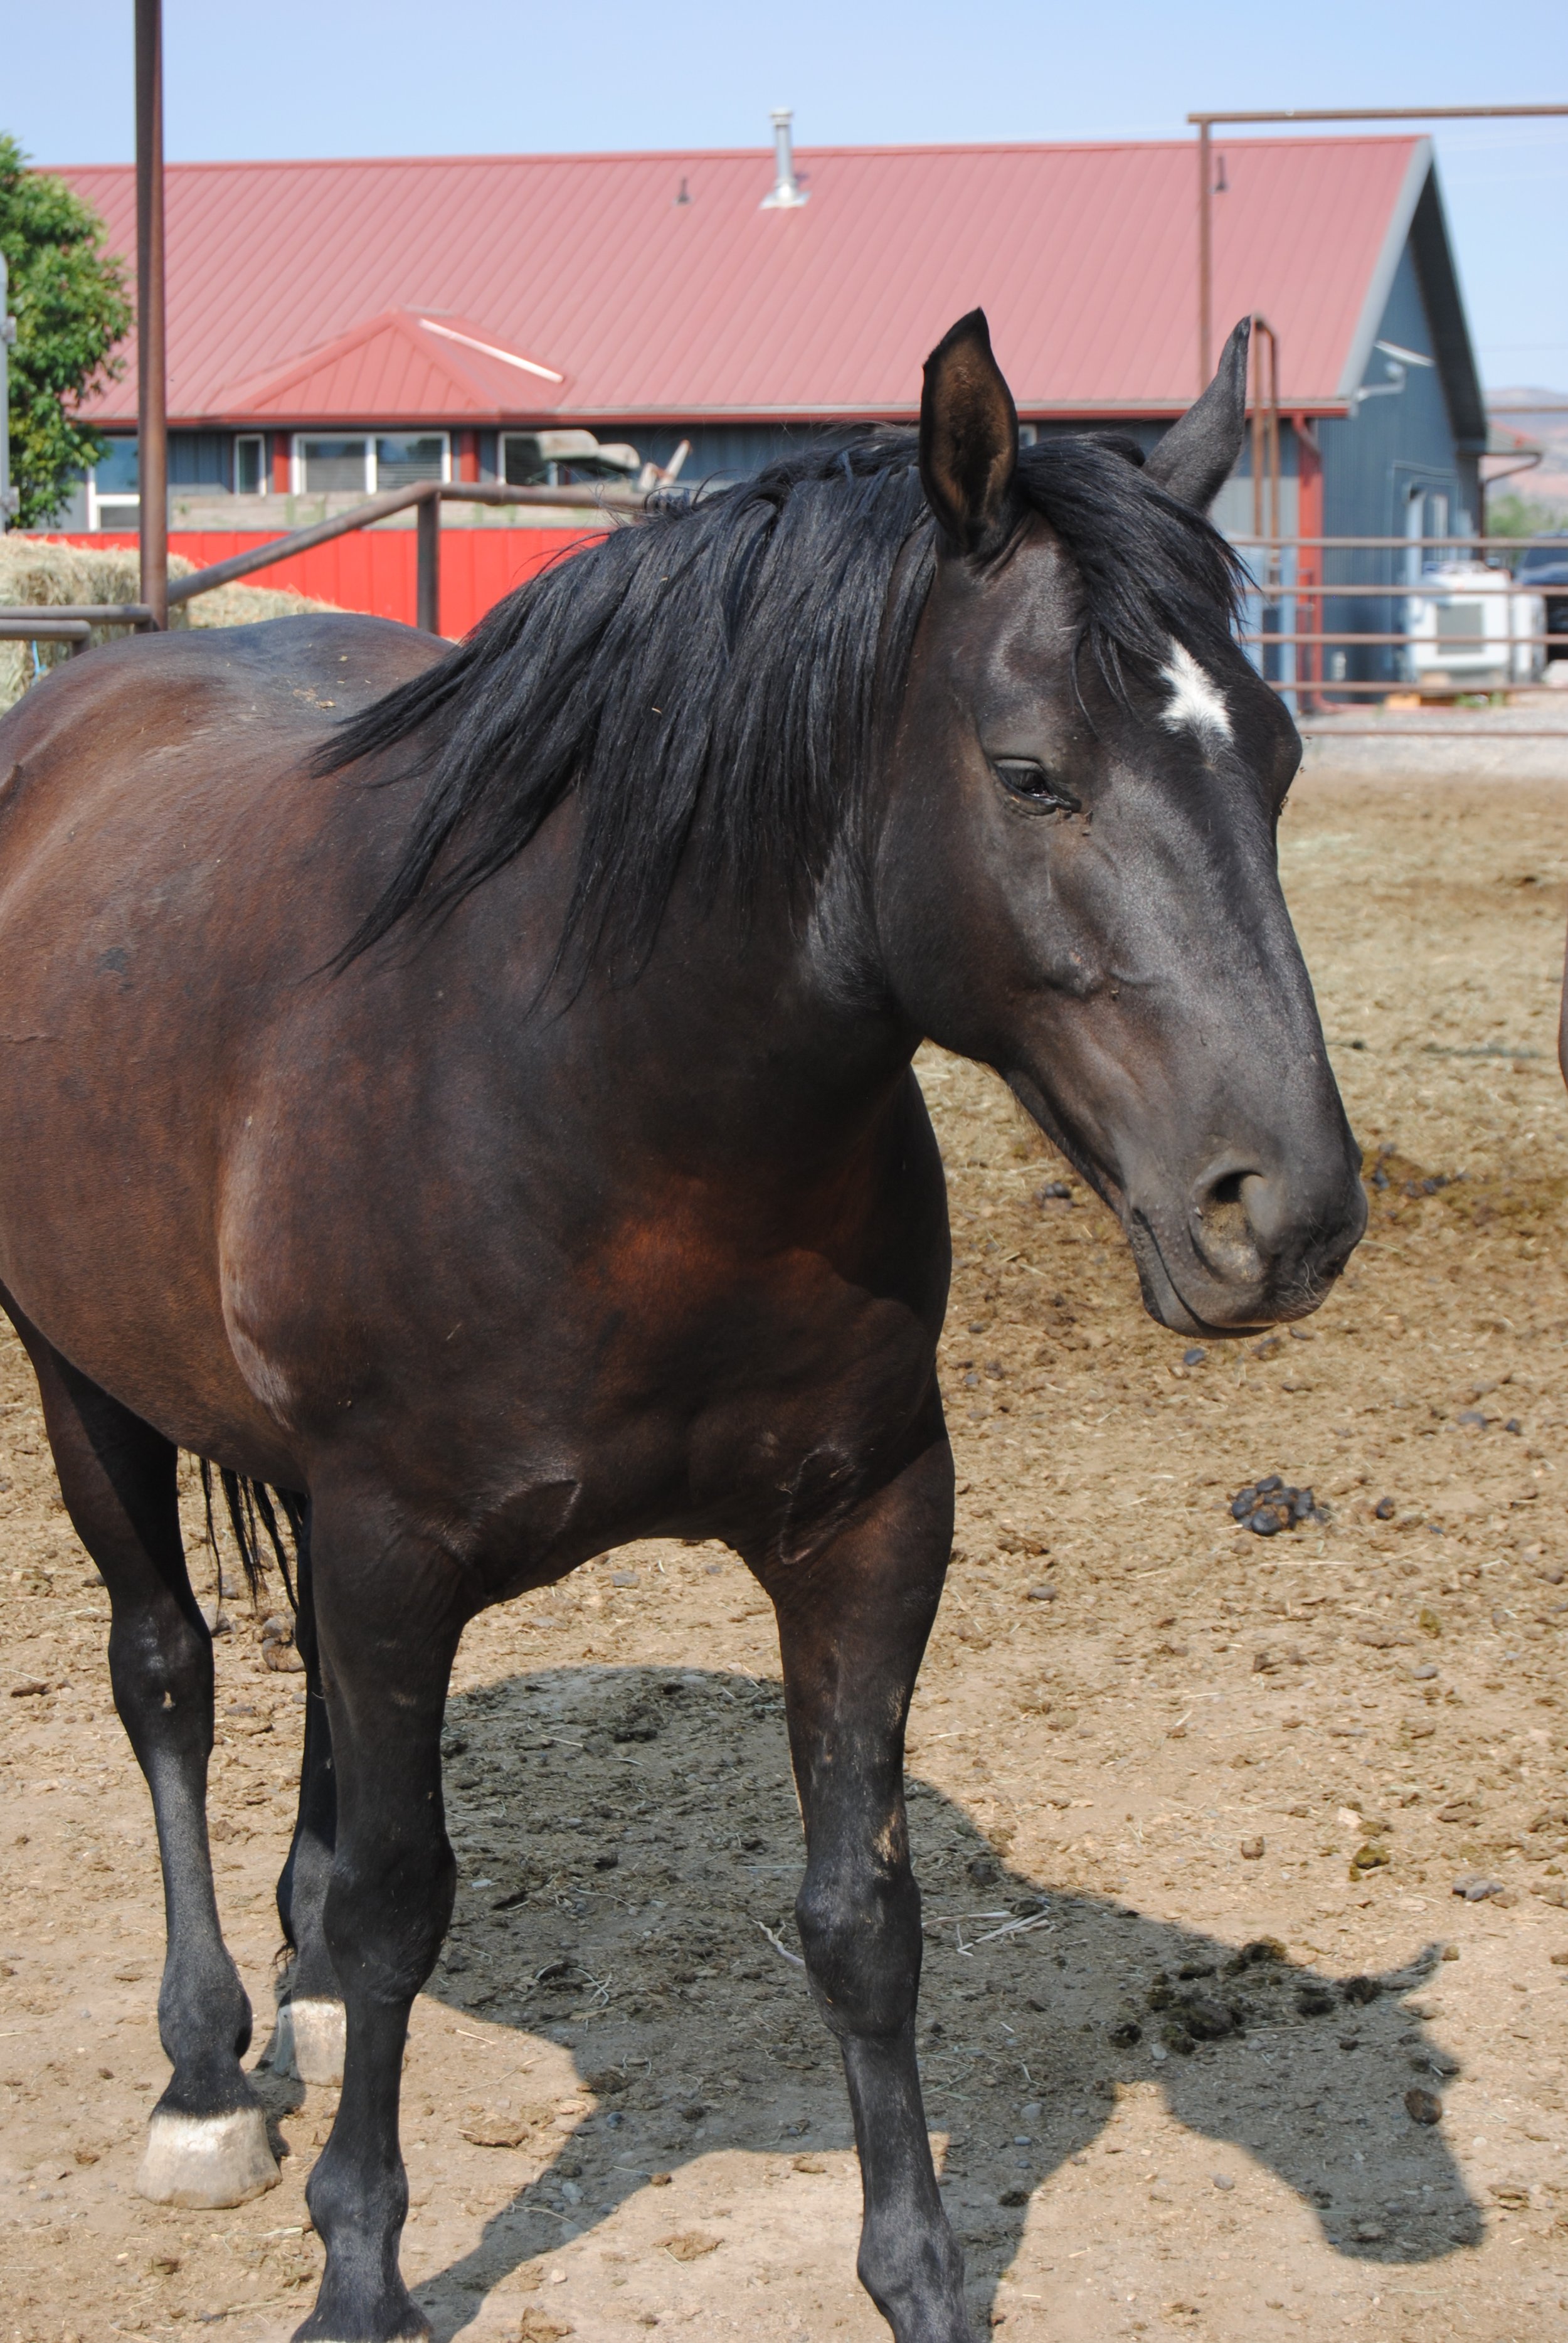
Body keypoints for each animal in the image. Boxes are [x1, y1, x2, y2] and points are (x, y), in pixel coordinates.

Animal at [0, 310, 1365, 2343]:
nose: (1281, 1218)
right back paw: (204, 2075)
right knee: (168, 1678)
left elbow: (860, 1916)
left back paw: (292, 1995)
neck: (601, 1102)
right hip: (81, 1376)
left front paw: (921, 2276)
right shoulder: (398, 1542)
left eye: (1273, 759)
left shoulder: (869, 1522)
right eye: (1031, 773)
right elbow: (405, 1903)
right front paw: (357, 2270)